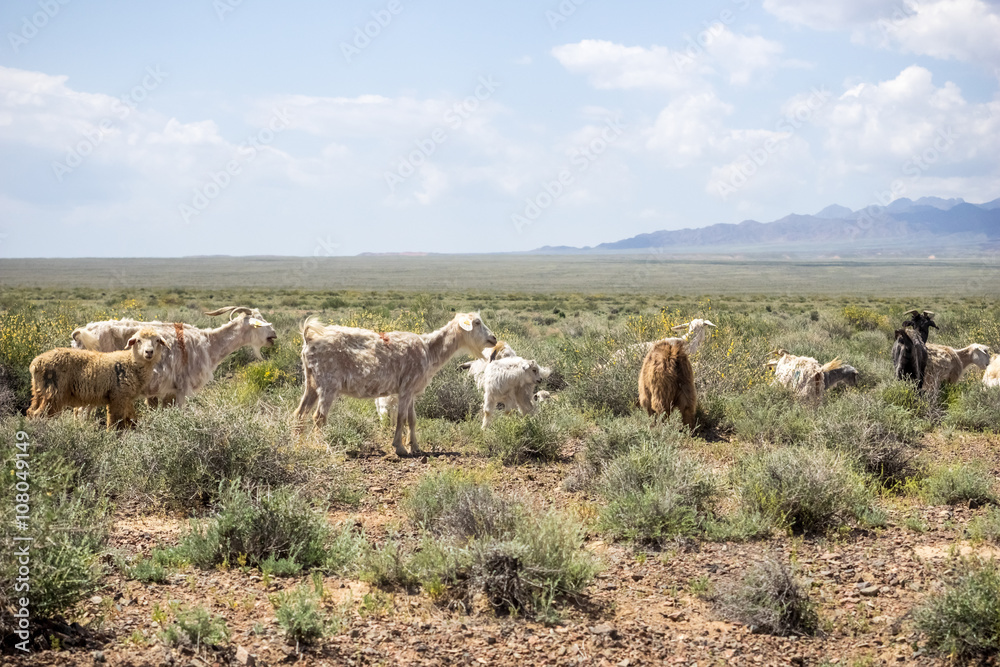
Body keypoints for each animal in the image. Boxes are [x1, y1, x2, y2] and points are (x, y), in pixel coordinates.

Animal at [27, 330, 169, 434]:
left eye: (157, 340)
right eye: (138, 340)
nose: (149, 352)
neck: (131, 362)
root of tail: (35, 363)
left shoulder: (126, 398)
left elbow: (131, 420)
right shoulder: (118, 396)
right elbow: (114, 422)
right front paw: (112, 438)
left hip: (39, 391)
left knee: (30, 411)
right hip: (53, 393)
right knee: (38, 414)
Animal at [70, 306, 276, 408]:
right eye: (260, 322)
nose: (273, 335)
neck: (208, 343)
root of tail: (81, 334)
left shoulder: (163, 391)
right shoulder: (181, 388)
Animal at [296, 312, 500, 456]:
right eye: (477, 323)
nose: (494, 338)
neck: (428, 349)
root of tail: (309, 338)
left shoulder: (411, 390)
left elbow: (412, 419)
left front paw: (415, 447)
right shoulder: (406, 388)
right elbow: (401, 417)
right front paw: (399, 447)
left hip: (311, 382)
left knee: (300, 413)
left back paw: (299, 443)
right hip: (328, 384)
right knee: (318, 417)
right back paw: (322, 446)